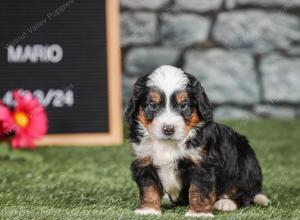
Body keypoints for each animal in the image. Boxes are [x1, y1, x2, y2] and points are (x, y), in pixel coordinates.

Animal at [125, 65, 270, 217]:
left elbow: (199, 190)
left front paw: (198, 213)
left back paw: (226, 203)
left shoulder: (201, 163)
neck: (168, 144)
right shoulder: (145, 160)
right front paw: (149, 210)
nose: (168, 129)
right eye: (152, 105)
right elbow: (149, 187)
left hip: (245, 164)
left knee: (245, 193)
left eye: (183, 105)